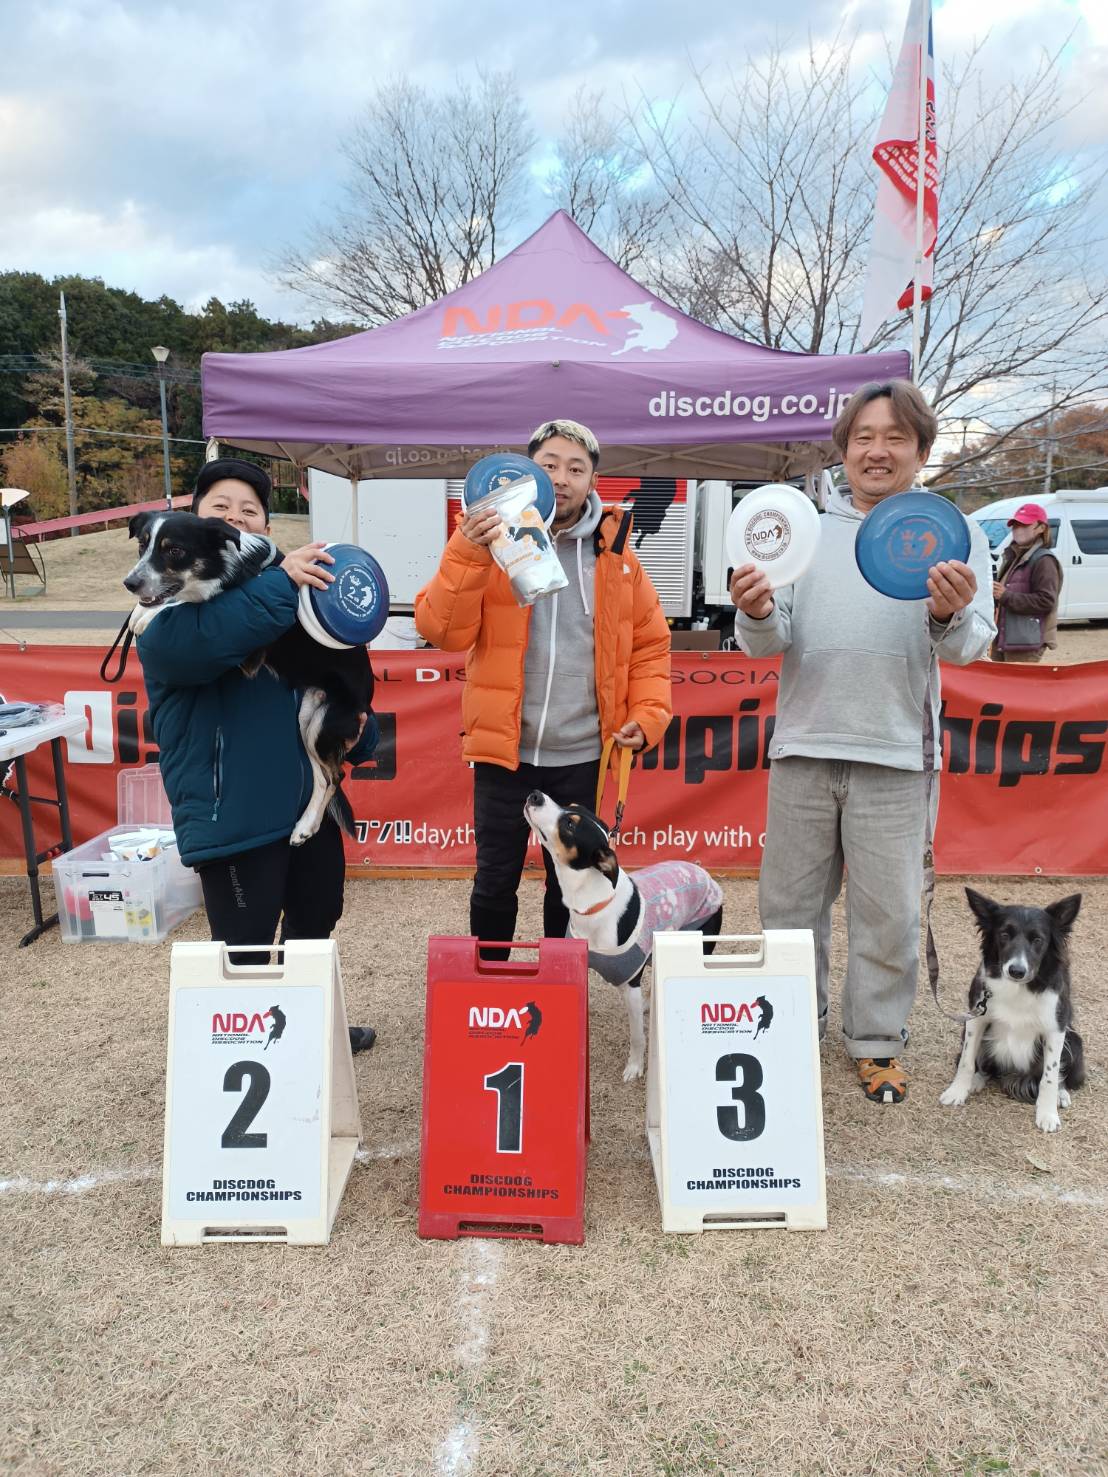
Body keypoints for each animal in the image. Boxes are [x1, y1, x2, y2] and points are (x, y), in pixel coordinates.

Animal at [122, 511, 373, 846]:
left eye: (174, 550)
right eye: (142, 546)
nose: (130, 583)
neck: (231, 570)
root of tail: (367, 699)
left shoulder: (250, 657)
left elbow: (193, 603)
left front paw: (150, 614)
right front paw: (141, 610)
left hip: (323, 723)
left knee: (335, 776)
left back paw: (306, 824)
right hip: (307, 717)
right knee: (324, 777)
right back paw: (305, 827)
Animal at [524, 791, 723, 1081]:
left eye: (570, 825)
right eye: (570, 806)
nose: (536, 795)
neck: (592, 904)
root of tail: (705, 874)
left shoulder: (630, 983)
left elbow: (637, 1036)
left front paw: (635, 1067)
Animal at [939, 887, 1085, 1133]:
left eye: (1038, 940)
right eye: (1004, 935)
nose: (1016, 970)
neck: (1018, 988)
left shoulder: (1056, 1028)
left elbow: (1049, 1075)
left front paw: (1047, 1114)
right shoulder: (976, 1017)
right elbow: (967, 1060)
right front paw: (957, 1091)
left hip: (1074, 1040)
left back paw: (1061, 1094)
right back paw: (977, 1080)